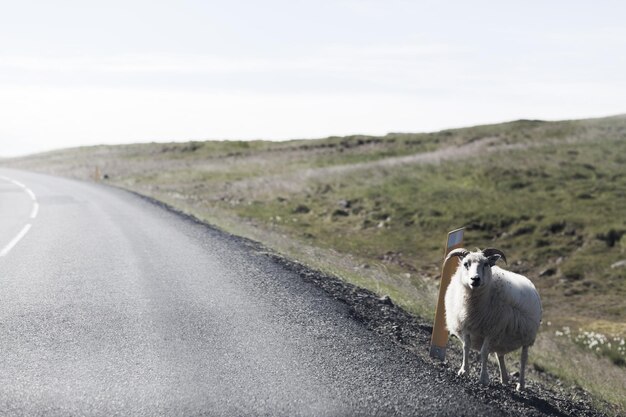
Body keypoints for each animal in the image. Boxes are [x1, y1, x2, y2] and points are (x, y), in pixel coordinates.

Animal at [442, 247, 540, 390]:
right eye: (465, 264)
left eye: (486, 264)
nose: (475, 279)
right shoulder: (466, 326)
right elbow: (466, 347)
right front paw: (464, 371)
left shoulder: (491, 331)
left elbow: (484, 352)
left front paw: (483, 378)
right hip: (502, 338)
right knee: (500, 355)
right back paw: (504, 379)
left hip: (527, 337)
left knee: (523, 359)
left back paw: (520, 385)